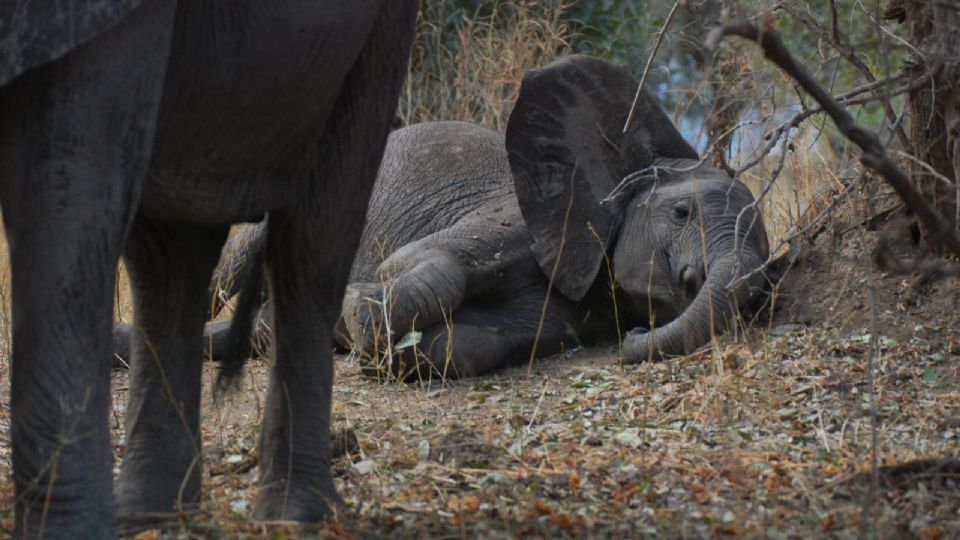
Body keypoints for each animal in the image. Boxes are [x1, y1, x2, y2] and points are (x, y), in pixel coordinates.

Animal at [1, 3, 418, 536]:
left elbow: (66, 190)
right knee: (167, 254)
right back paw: (149, 512)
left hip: (380, 34)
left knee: (312, 243)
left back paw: (293, 516)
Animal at [116, 53, 772, 380]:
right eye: (682, 211)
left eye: (767, 265)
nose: (635, 339)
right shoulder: (516, 218)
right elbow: (426, 262)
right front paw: (359, 306)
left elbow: (466, 347)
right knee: (226, 271)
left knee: (240, 331)